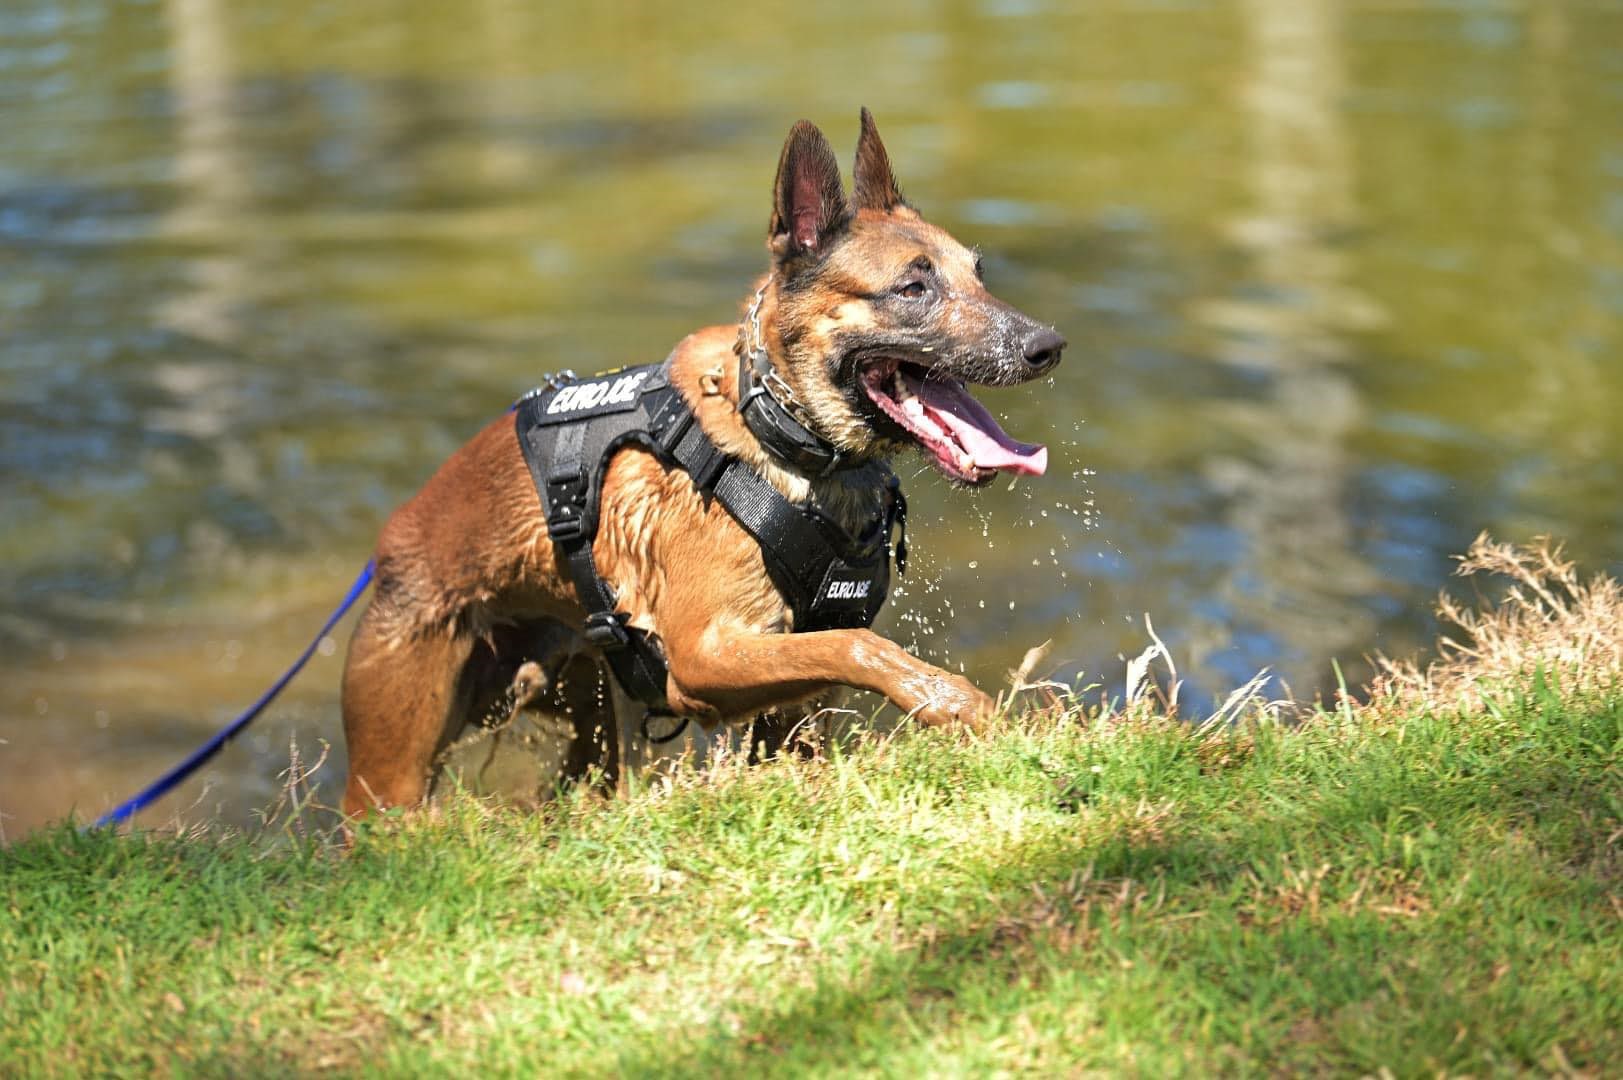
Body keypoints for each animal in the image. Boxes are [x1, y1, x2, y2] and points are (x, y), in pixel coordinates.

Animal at [339, 110, 1064, 817]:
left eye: (978, 274)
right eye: (913, 287)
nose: (1048, 345)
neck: (776, 429)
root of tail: (391, 545)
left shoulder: (788, 696)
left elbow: (829, 673)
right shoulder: (703, 656)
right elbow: (857, 646)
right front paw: (954, 702)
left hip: (583, 712)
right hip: (392, 770)